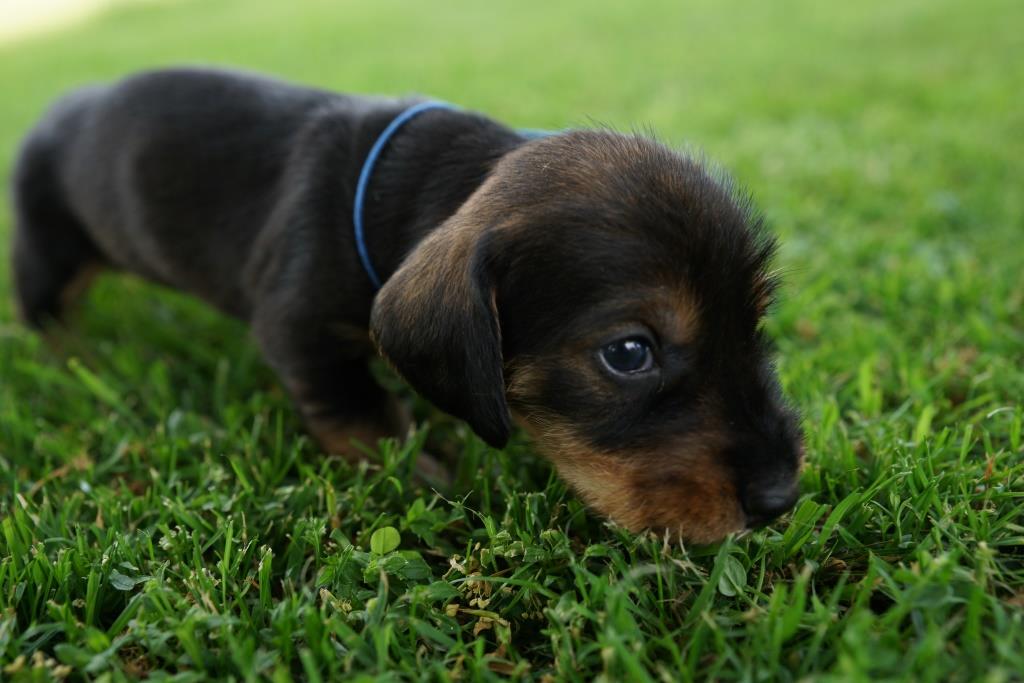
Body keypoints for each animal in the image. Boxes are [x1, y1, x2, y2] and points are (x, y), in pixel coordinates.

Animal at [10, 67, 803, 543]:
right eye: (630, 353)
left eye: (755, 324)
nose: (781, 498)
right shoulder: (297, 327)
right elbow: (358, 411)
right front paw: (422, 474)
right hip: (47, 248)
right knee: (43, 311)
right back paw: (72, 357)